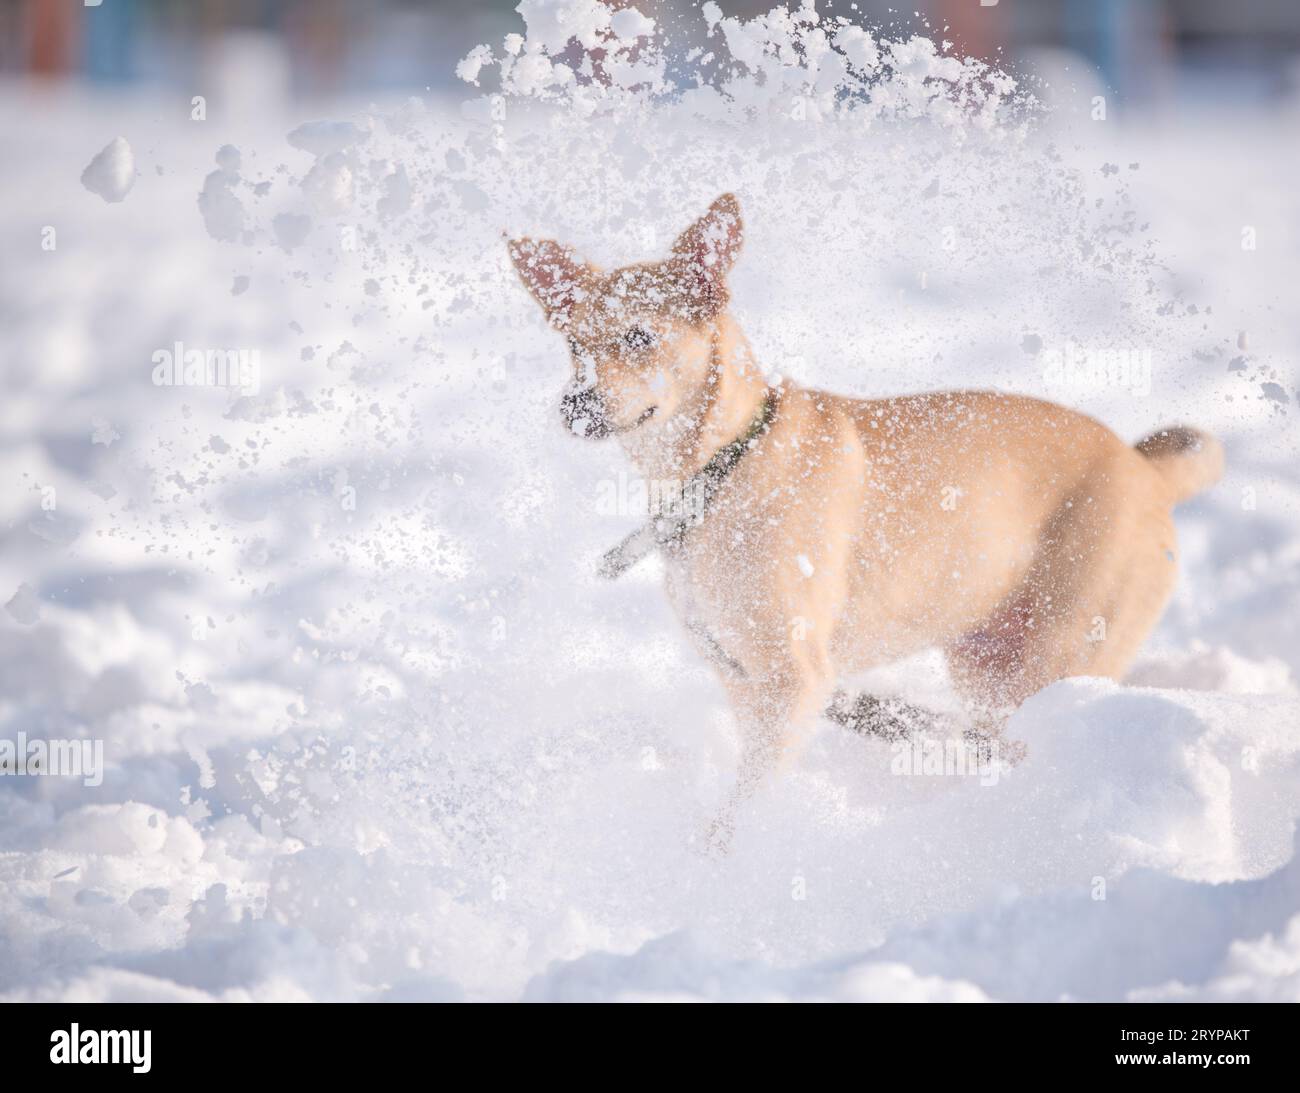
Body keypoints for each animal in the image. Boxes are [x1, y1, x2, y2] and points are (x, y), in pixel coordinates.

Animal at [504, 193, 1216, 842]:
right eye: (572, 346)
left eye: (639, 337)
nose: (574, 405)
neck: (719, 470)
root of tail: (1147, 469)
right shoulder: (741, 679)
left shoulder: (793, 681)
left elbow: (739, 810)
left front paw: (722, 864)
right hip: (983, 663)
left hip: (1054, 659)